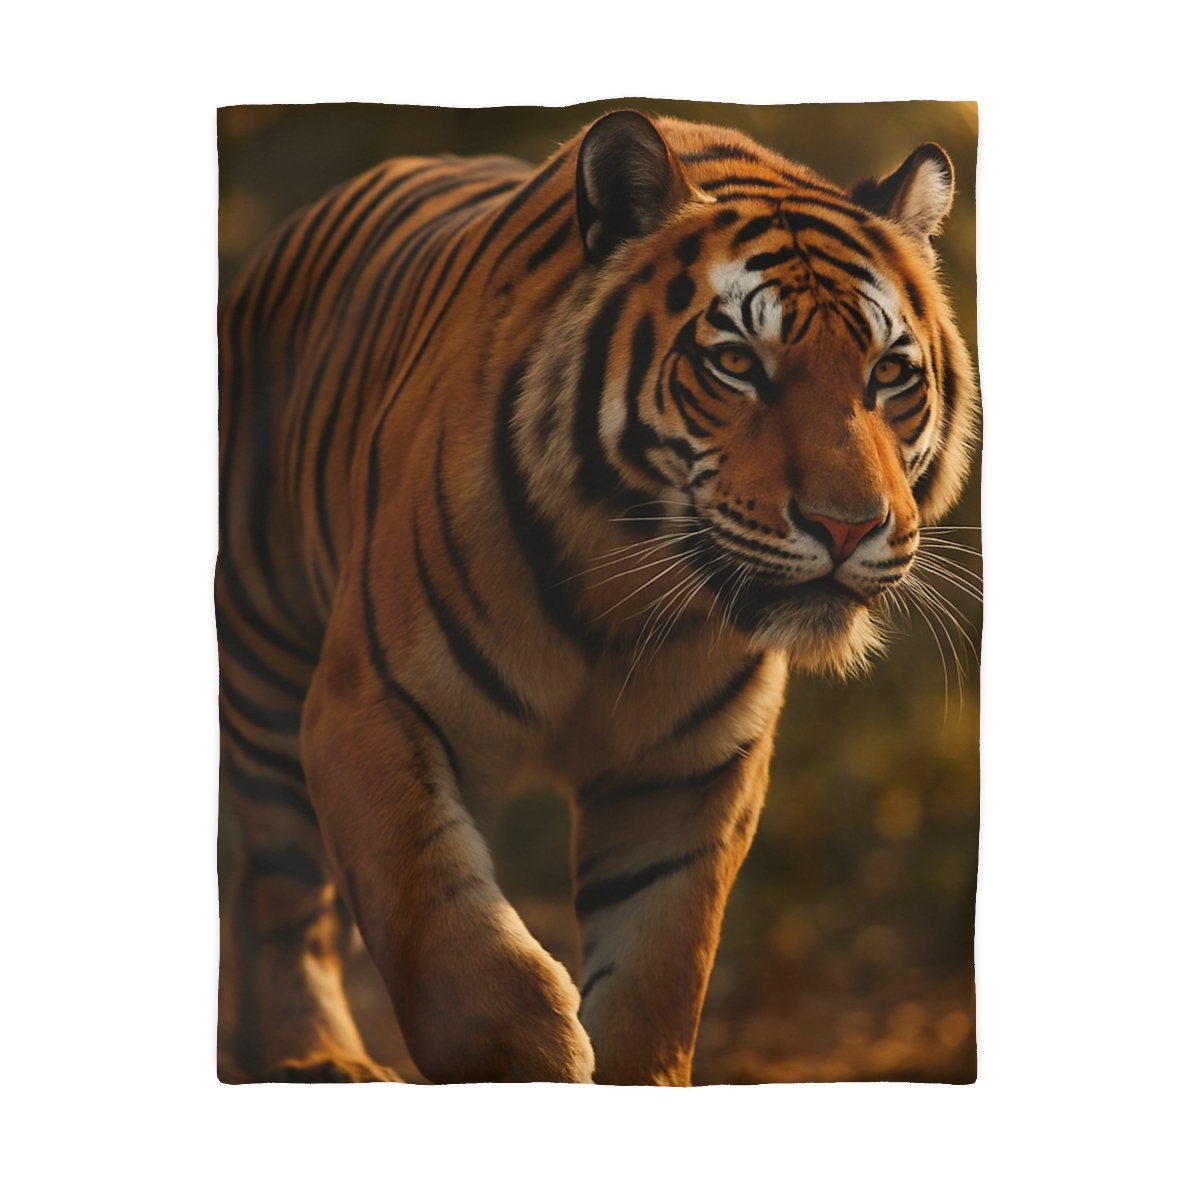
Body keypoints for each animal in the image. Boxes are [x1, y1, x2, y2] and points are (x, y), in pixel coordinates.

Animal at [217, 109, 979, 1085]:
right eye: (737, 363)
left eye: (888, 373)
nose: (848, 527)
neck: (622, 598)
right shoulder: (368, 705)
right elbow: (450, 942)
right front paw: (539, 1054)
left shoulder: (692, 772)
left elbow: (656, 976)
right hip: (266, 670)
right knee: (277, 886)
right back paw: (312, 1057)